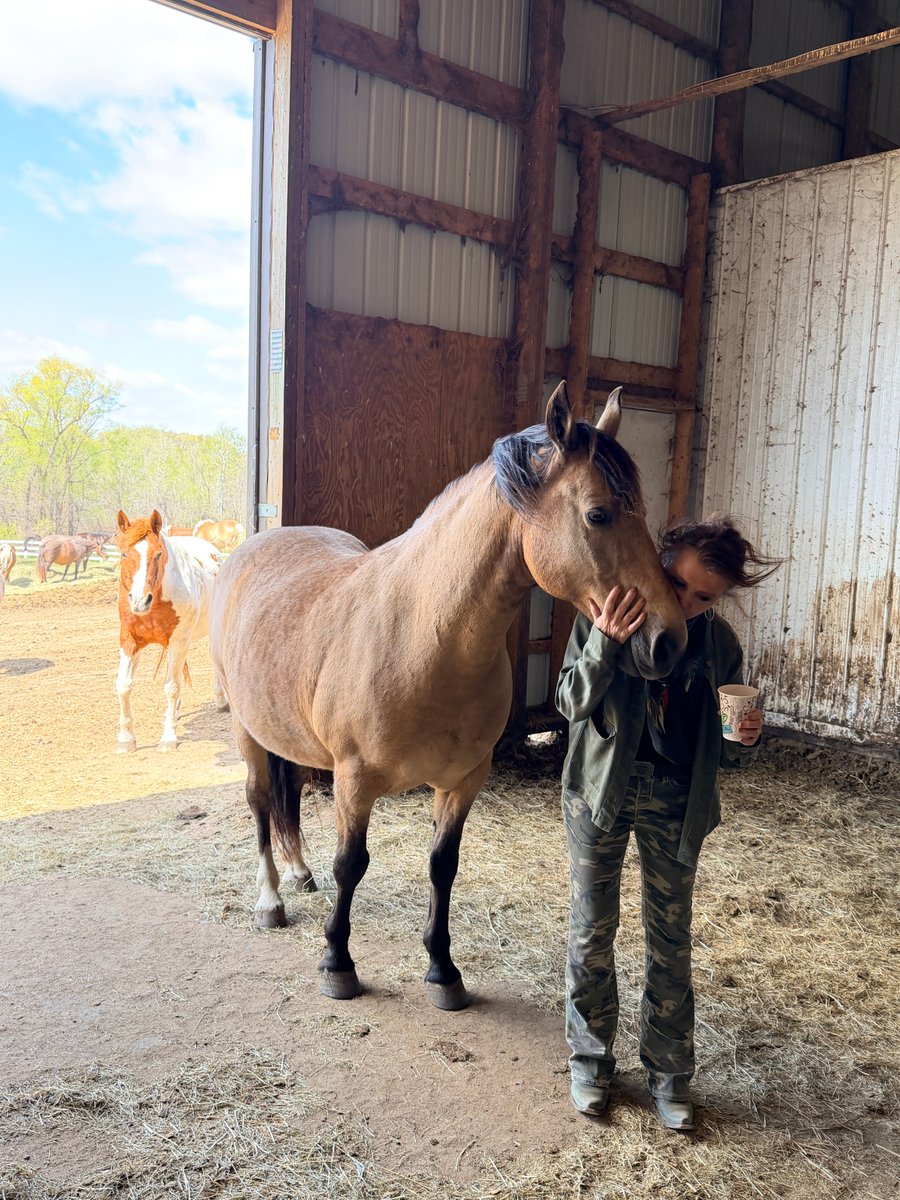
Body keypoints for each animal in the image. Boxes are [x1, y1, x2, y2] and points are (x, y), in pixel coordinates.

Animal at [115, 511, 228, 753]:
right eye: (123, 553)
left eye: (158, 554)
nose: (139, 601)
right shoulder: (129, 640)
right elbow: (124, 685)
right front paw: (126, 739)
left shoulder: (178, 641)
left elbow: (172, 687)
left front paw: (168, 737)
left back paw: (221, 700)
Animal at [210, 381, 687, 1010]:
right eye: (598, 514)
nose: (669, 641)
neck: (424, 636)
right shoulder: (354, 781)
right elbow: (350, 865)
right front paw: (337, 963)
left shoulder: (463, 781)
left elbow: (443, 866)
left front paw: (443, 969)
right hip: (246, 732)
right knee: (262, 801)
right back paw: (270, 899)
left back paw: (296, 872)